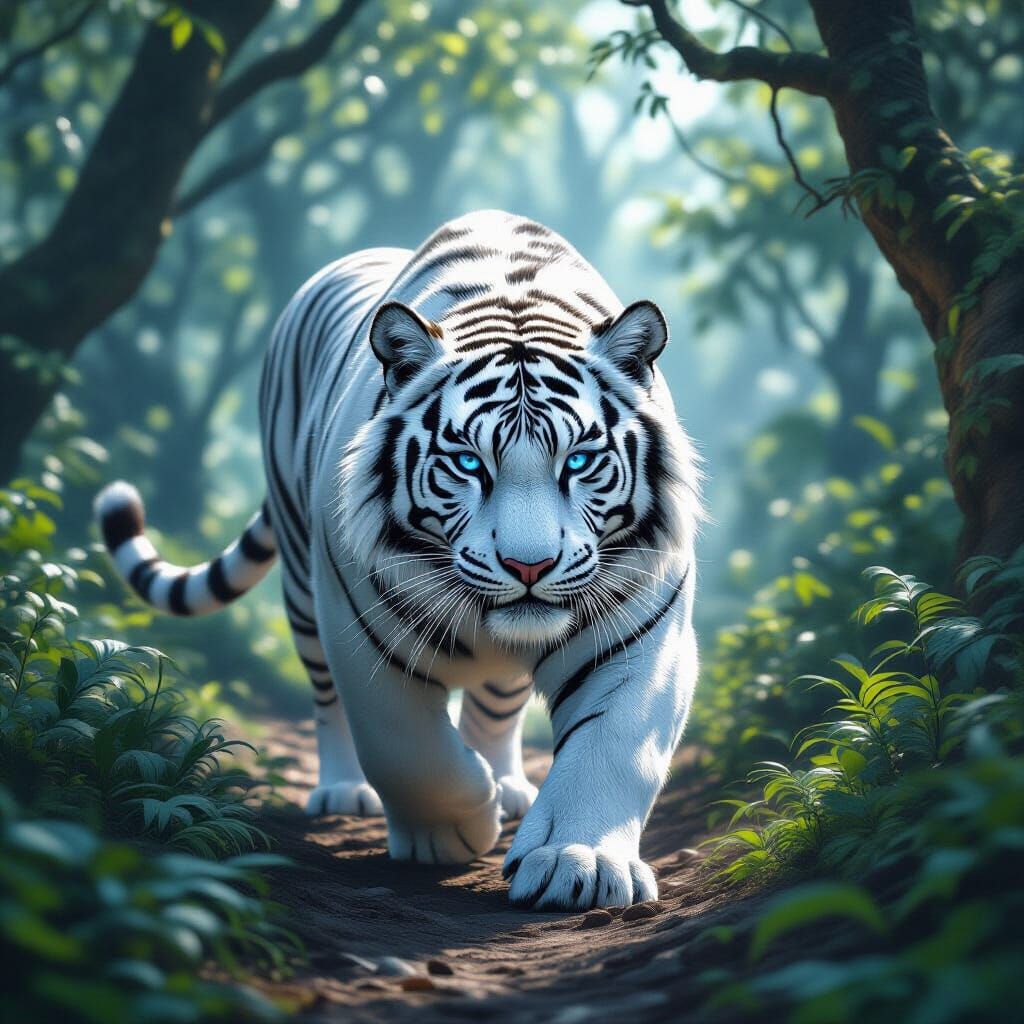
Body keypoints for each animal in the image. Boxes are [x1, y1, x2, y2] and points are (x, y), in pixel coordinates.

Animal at [95, 209, 700, 911]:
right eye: (467, 462)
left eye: (578, 460)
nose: (529, 567)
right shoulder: (359, 626)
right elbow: (405, 749)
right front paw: (452, 832)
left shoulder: (640, 631)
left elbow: (613, 745)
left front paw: (577, 863)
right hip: (302, 584)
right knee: (328, 700)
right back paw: (345, 791)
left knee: (497, 702)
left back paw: (508, 785)